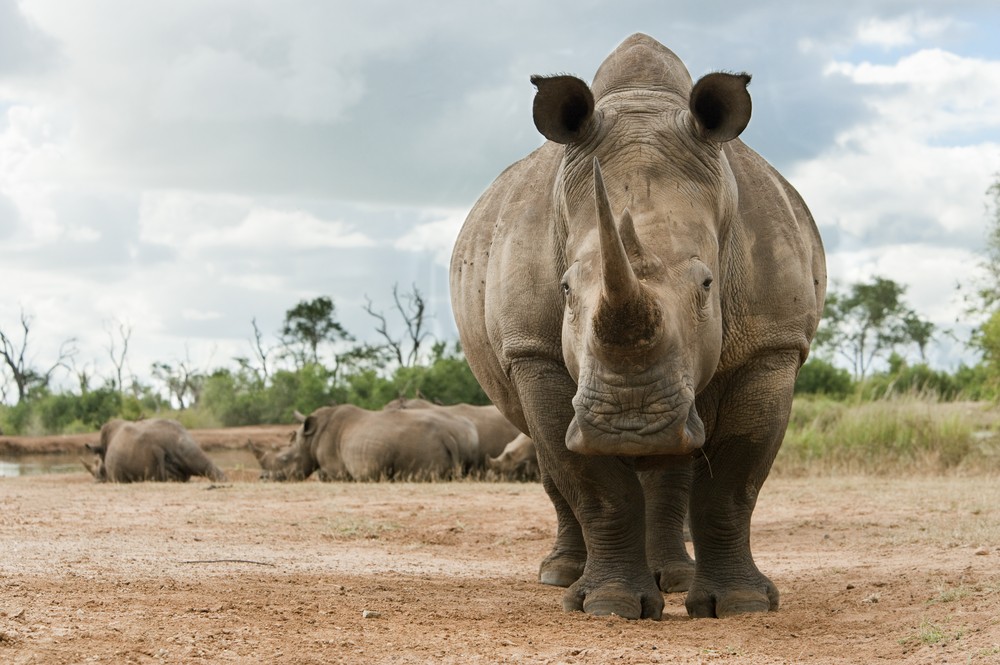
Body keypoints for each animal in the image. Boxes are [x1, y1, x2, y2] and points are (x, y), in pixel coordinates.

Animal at [252, 402, 482, 480]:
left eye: (284, 459)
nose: (263, 477)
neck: (309, 440)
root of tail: (451, 435)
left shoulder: (335, 469)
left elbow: (325, 475)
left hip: (422, 442)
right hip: (469, 438)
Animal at [450, 33, 824, 620]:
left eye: (707, 285)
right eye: (564, 290)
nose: (628, 423)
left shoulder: (772, 345)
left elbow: (734, 482)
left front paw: (740, 605)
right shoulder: (532, 350)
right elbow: (593, 483)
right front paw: (608, 605)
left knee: (678, 462)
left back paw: (673, 577)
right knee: (550, 458)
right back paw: (561, 576)